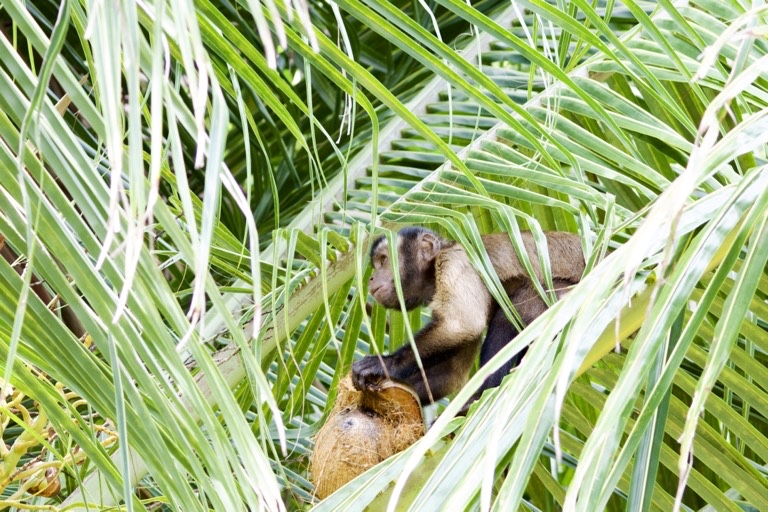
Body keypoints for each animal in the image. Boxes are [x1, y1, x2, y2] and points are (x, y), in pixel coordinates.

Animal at [351, 226, 585, 408]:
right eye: (377, 263)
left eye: (383, 260)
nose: (372, 278)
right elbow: (451, 372)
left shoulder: (455, 263)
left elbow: (461, 325)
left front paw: (386, 365)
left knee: (512, 312)